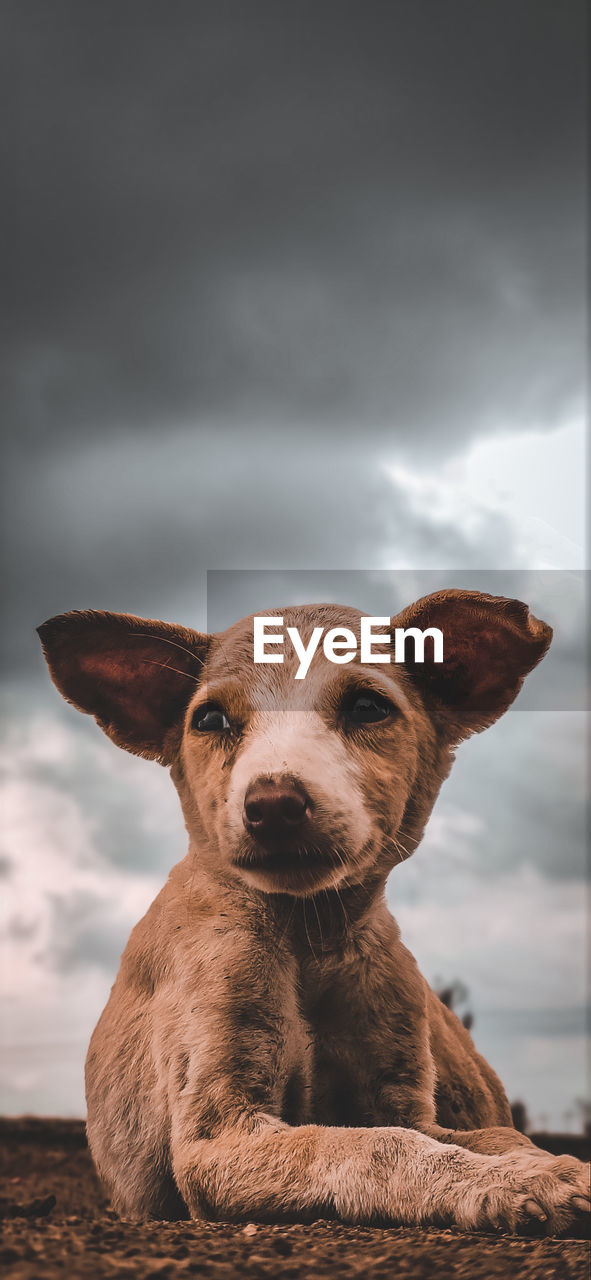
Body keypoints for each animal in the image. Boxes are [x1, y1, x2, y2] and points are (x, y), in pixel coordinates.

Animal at [39, 588, 588, 1228]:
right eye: (209, 719)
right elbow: (372, 1146)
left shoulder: (403, 1099)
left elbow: (487, 1137)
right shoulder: (216, 1137)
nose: (272, 805)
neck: (311, 935)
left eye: (368, 707)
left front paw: (542, 1167)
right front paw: (520, 1184)